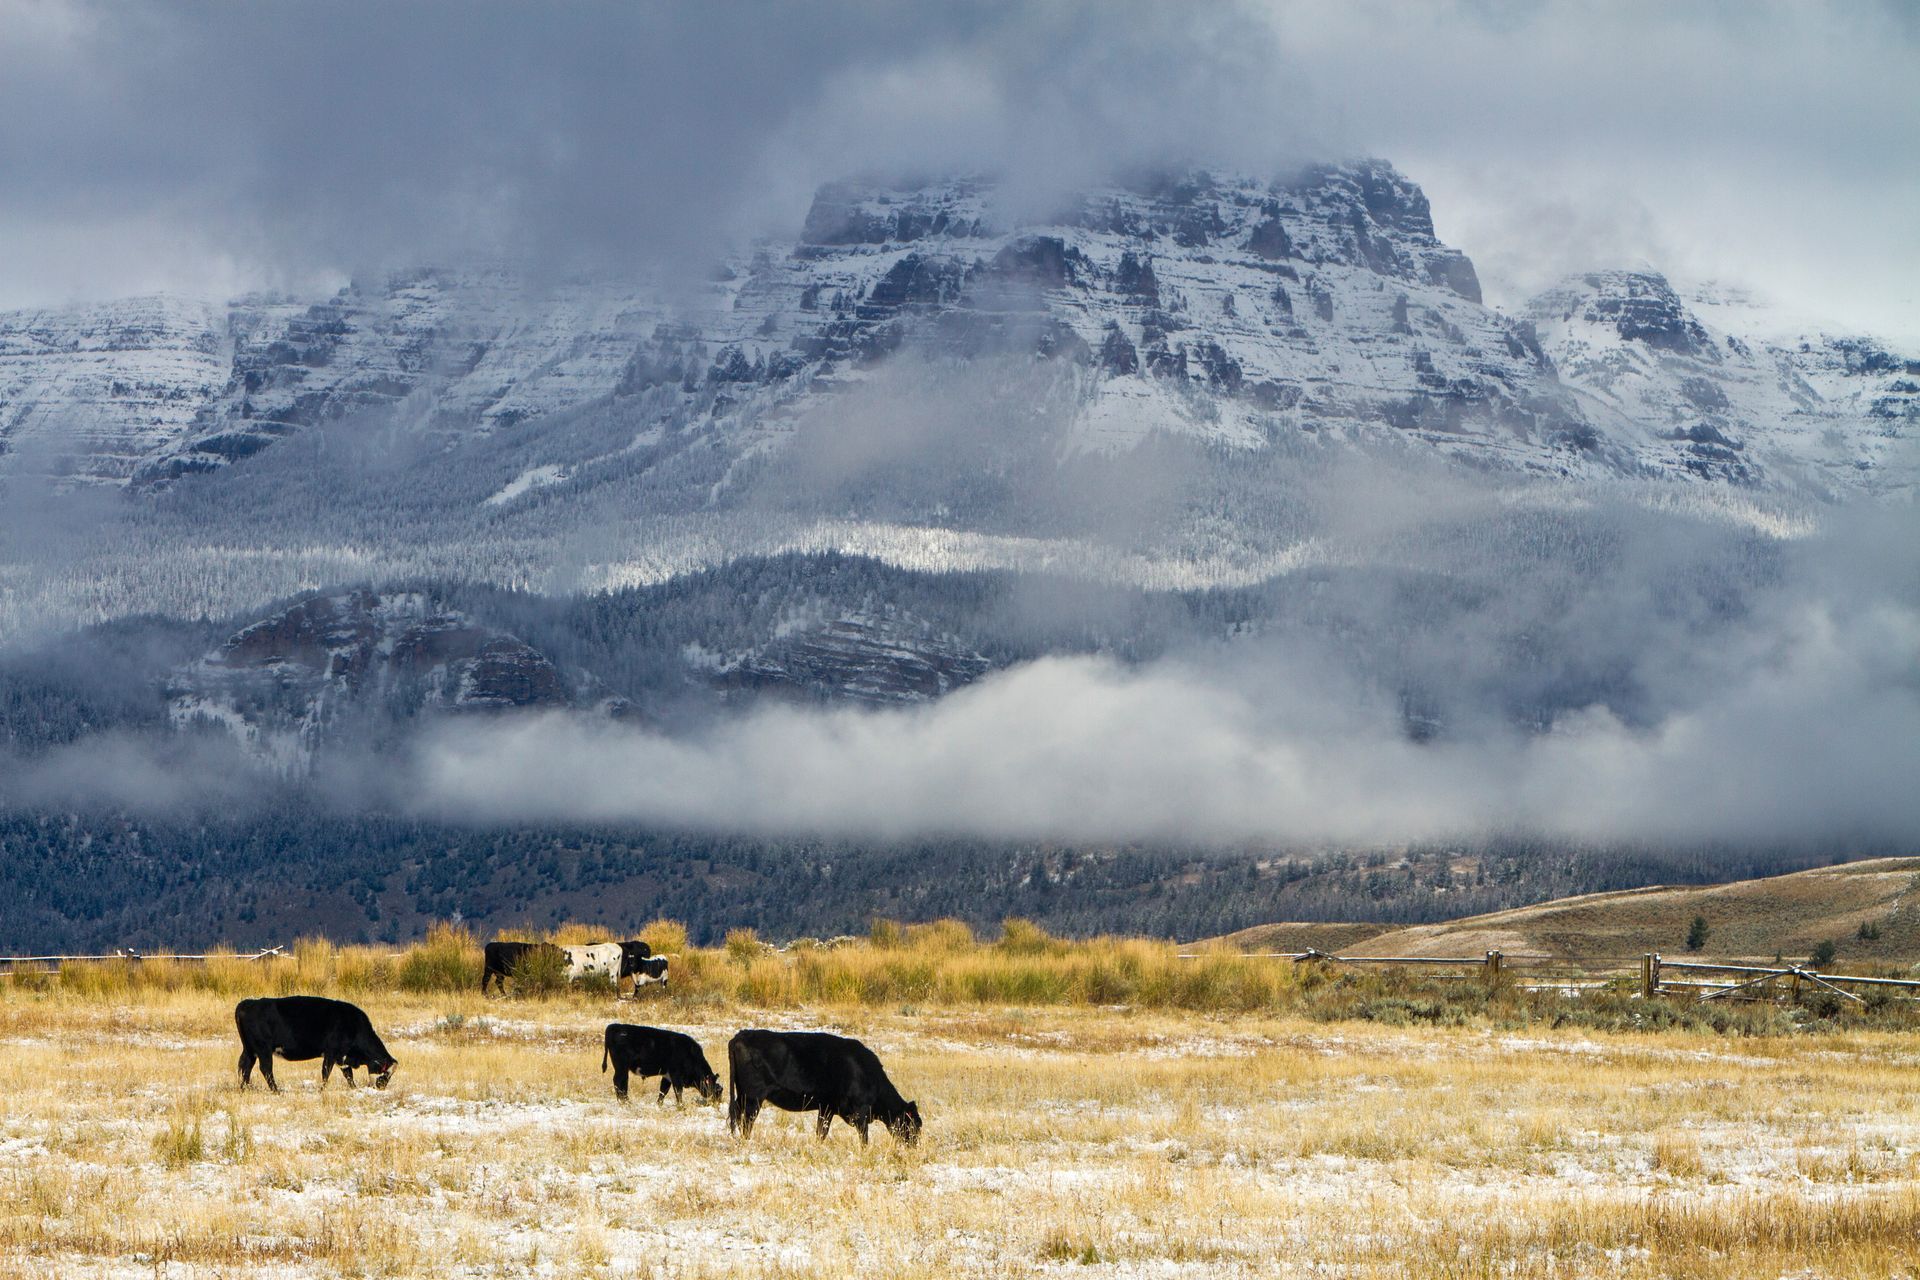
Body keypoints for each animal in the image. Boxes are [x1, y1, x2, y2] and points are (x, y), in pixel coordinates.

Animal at [235, 996, 397, 1093]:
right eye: (386, 1074)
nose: (381, 1088)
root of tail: (249, 1002)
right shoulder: (331, 1053)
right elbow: (326, 1072)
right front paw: (322, 1090)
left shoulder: (342, 1057)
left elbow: (348, 1074)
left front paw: (353, 1088)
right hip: (263, 1049)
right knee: (266, 1069)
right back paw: (276, 1090)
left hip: (249, 1050)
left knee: (245, 1066)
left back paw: (244, 1088)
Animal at [726, 1030, 921, 1144]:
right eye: (914, 1125)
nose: (915, 1146)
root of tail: (741, 1035)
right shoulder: (861, 1112)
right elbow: (864, 1138)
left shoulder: (826, 1107)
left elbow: (821, 1132)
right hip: (753, 1097)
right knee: (747, 1121)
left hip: (743, 1094)